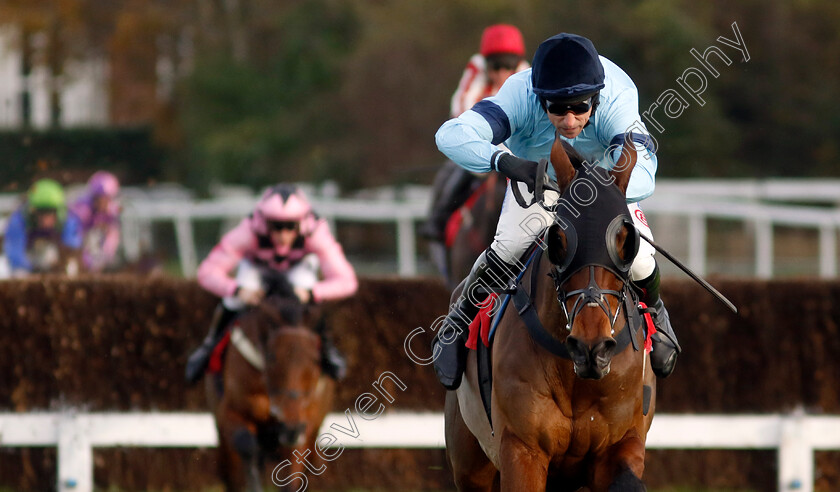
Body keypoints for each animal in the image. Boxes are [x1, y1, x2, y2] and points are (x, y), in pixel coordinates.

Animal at [206, 278, 334, 490]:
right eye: (272, 357)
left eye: (315, 359)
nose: (291, 428)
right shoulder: (231, 413)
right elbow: (246, 445)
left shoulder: (302, 425)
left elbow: (293, 472)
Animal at [446, 135, 656, 492]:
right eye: (559, 238)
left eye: (627, 240)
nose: (590, 348)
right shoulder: (522, 449)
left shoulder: (620, 446)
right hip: (470, 463)